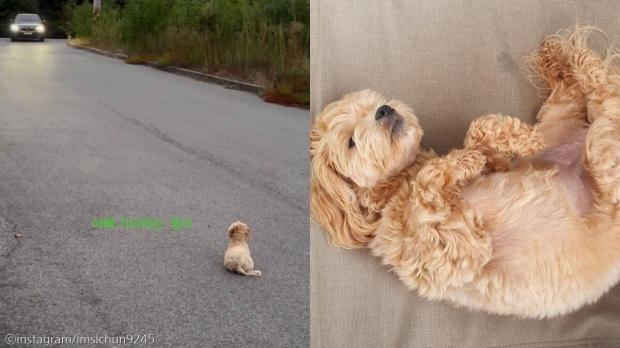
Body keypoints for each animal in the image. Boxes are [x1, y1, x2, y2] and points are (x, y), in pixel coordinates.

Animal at [312, 25, 620, 316]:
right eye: (351, 142)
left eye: (375, 102)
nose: (384, 110)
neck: (399, 186)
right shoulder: (455, 251)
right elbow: (430, 181)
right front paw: (463, 160)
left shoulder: (496, 167)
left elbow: (479, 132)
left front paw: (517, 138)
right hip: (603, 157)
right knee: (605, 98)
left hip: (566, 122)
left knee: (590, 89)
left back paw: (557, 54)